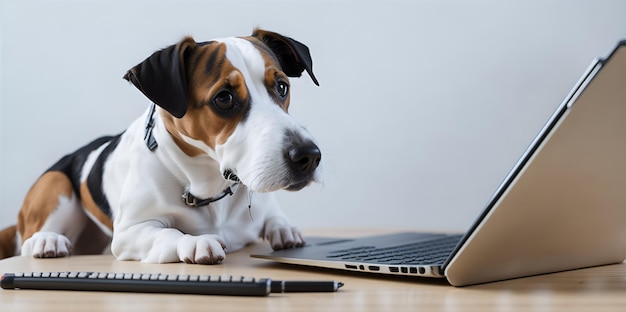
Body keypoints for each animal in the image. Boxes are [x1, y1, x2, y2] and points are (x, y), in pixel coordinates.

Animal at [0, 29, 320, 264]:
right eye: (224, 98)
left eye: (282, 87)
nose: (308, 156)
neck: (206, 188)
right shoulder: (129, 233)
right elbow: (167, 234)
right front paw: (194, 242)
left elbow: (274, 216)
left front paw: (283, 228)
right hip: (56, 184)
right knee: (28, 238)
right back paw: (47, 239)